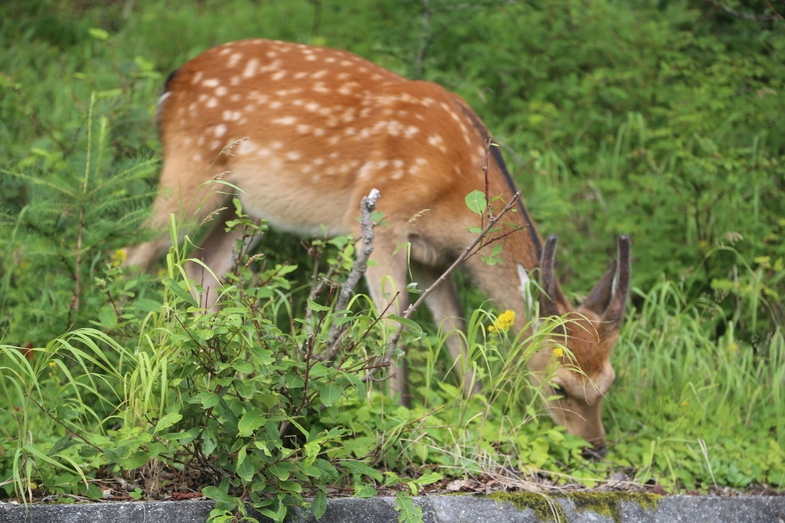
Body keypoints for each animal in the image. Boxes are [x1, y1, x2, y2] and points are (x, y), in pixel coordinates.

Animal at [127, 37, 632, 458]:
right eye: (560, 386)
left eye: (608, 383)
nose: (596, 449)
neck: (458, 185)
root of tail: (174, 81)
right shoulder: (380, 221)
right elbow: (394, 324)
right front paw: (392, 417)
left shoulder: (437, 257)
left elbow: (456, 334)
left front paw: (475, 415)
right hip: (192, 171)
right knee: (135, 254)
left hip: (246, 206)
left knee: (202, 269)